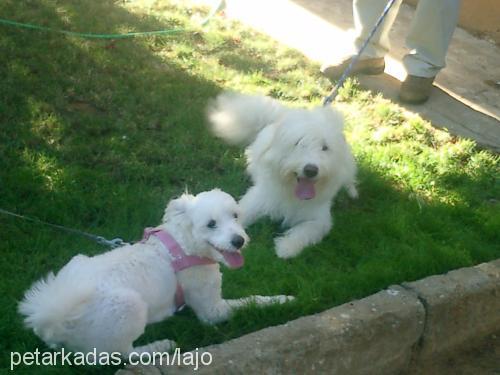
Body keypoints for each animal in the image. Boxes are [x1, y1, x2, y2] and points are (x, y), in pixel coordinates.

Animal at [18, 189, 292, 356]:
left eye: (235, 215)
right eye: (211, 224)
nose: (239, 241)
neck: (183, 245)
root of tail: (52, 321)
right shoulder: (212, 311)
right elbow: (251, 300)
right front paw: (283, 299)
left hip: (78, 261)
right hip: (129, 304)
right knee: (120, 354)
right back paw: (160, 346)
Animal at [209, 92, 358, 260]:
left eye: (325, 147)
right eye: (298, 143)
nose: (311, 170)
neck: (292, 191)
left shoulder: (319, 219)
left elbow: (304, 231)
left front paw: (286, 248)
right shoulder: (259, 199)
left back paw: (353, 192)